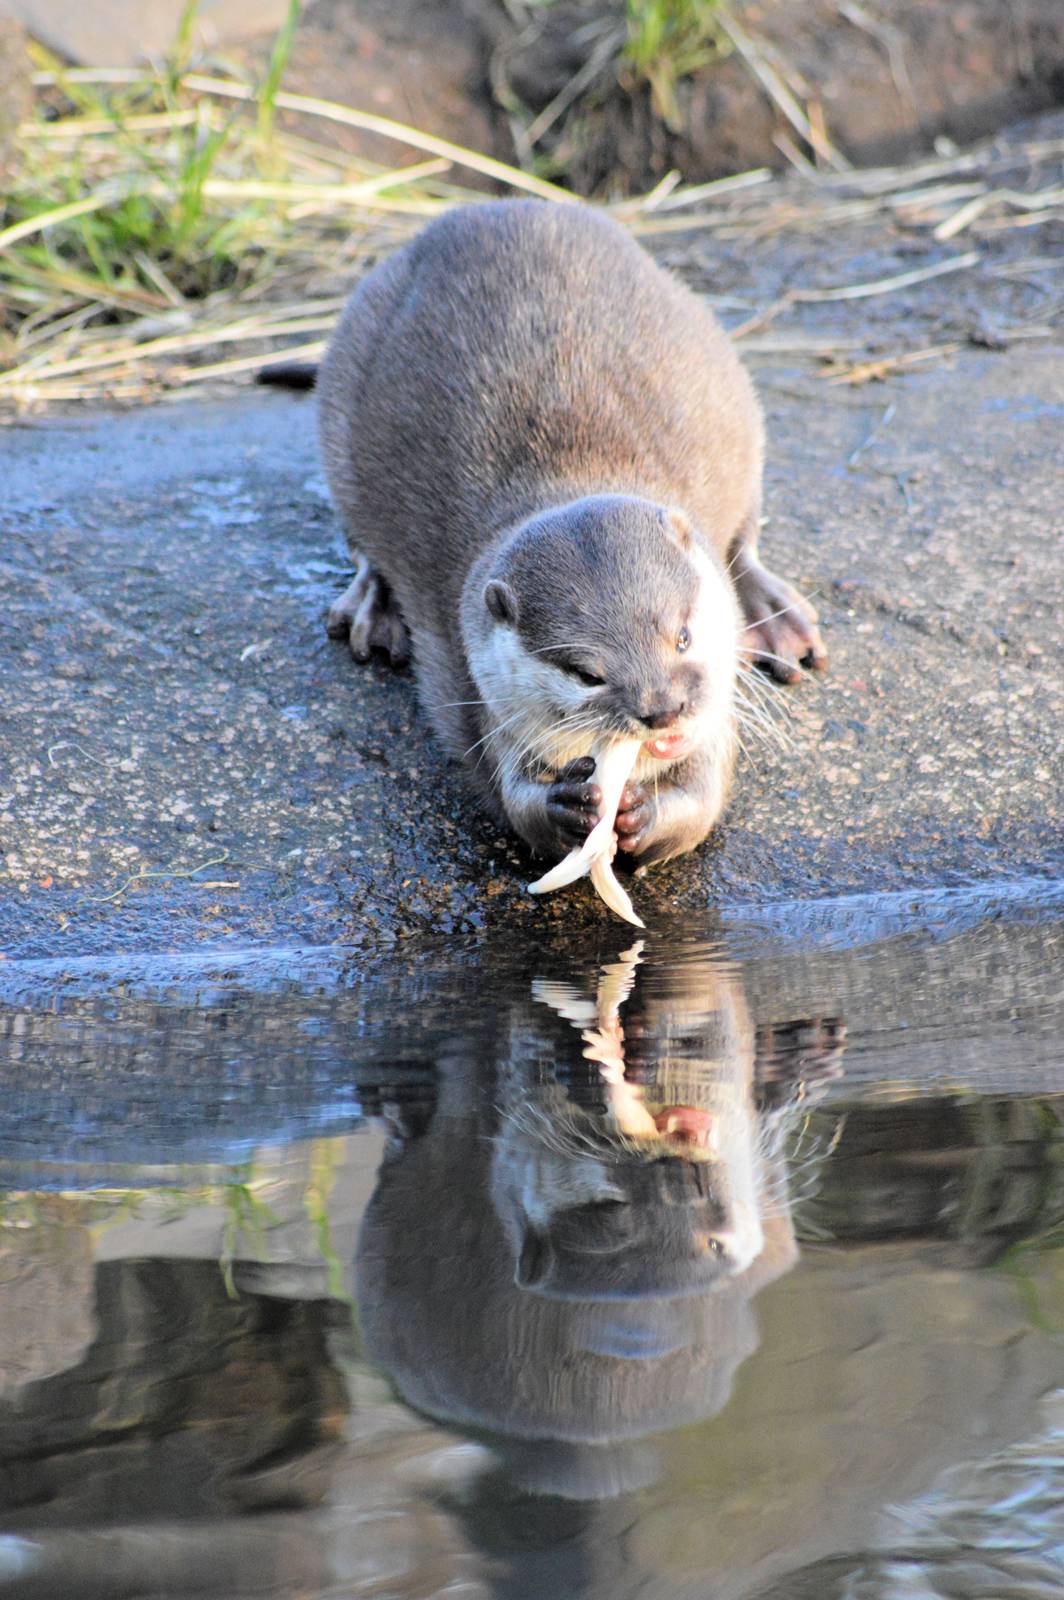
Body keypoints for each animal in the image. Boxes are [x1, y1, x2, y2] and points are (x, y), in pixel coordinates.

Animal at [308, 200, 825, 867]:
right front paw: (560, 807)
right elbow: (510, 799)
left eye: (683, 636)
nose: (662, 709)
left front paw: (649, 815)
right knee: (363, 545)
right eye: (586, 673)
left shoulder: (713, 718)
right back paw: (373, 609)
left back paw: (775, 617)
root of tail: (495, 206)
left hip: (737, 396)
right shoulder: (482, 692)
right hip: (338, 411)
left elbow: (704, 801)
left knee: (745, 536)